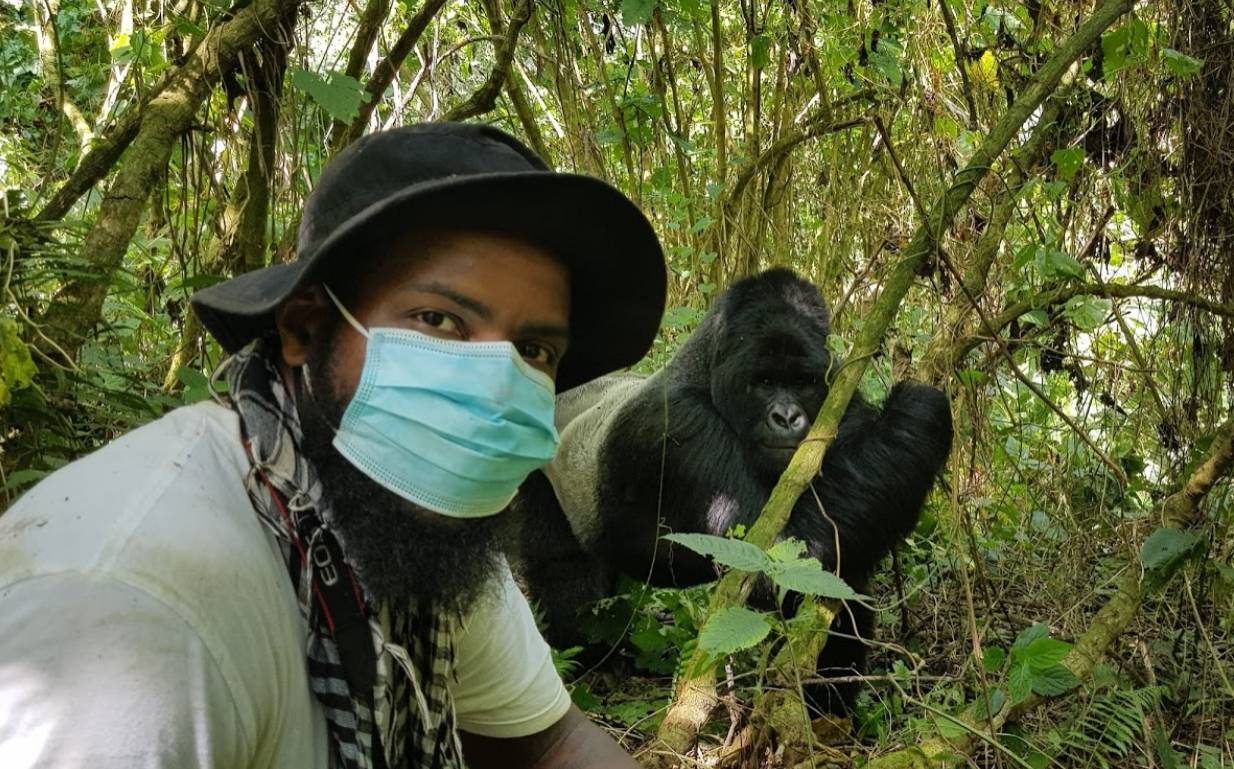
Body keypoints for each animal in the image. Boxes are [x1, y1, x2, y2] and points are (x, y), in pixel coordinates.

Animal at [505, 267, 947, 710]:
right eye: (764, 382)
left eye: (803, 382)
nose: (787, 417)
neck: (705, 371)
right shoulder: (681, 426)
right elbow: (774, 560)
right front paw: (919, 409)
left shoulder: (838, 394)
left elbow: (833, 570)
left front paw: (828, 702)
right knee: (565, 571)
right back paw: (588, 656)